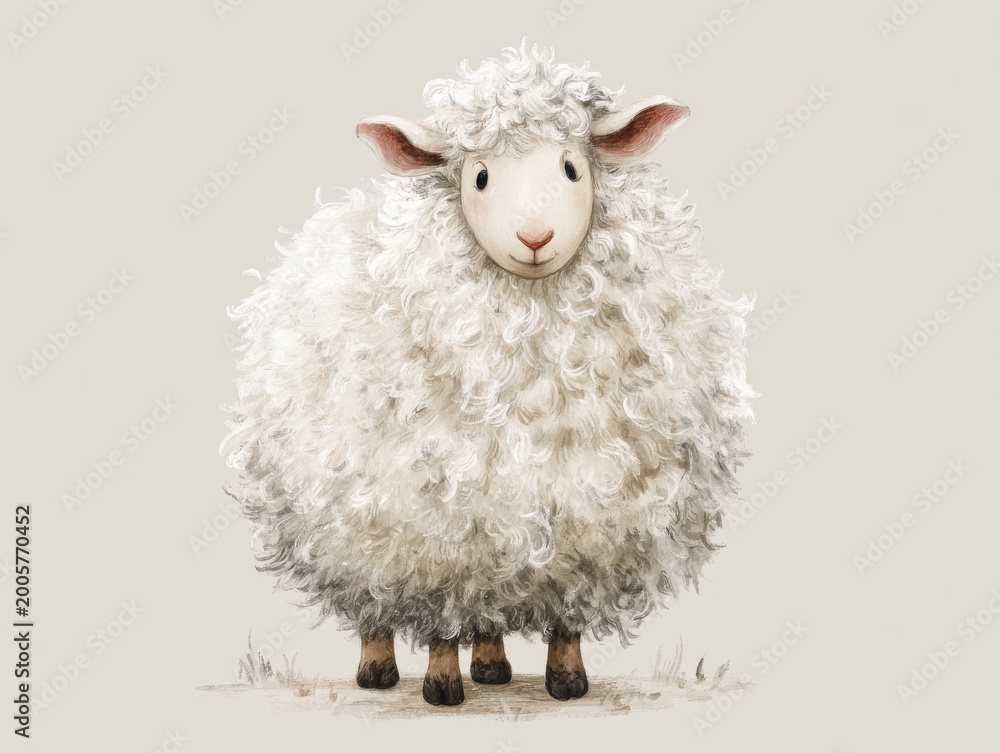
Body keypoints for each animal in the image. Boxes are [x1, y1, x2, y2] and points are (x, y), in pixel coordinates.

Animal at [221, 41, 755, 707]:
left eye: (572, 169)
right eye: (478, 177)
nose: (535, 235)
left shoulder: (584, 521)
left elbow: (567, 613)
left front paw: (567, 680)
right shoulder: (436, 521)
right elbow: (440, 618)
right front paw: (441, 685)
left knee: (488, 605)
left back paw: (494, 664)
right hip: (361, 521)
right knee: (376, 599)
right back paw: (380, 670)